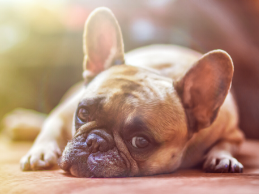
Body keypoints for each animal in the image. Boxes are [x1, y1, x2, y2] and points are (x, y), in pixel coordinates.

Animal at [19, 7, 245, 177]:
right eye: (83, 113)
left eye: (140, 141)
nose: (95, 141)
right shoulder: (65, 112)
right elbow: (51, 127)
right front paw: (40, 151)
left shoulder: (233, 133)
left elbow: (227, 144)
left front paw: (222, 157)